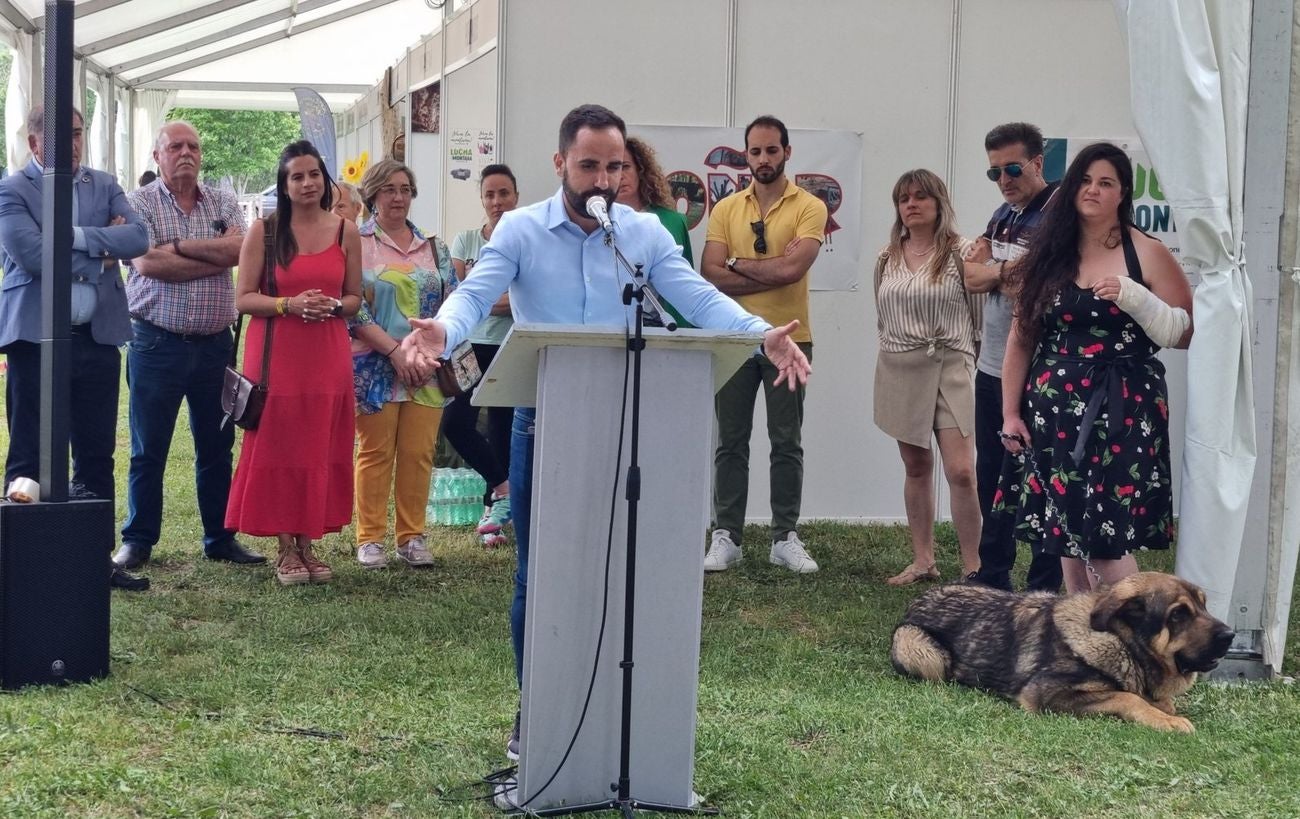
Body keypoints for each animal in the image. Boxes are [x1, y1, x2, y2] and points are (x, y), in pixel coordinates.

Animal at [889, 574, 1232, 733]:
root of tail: (919, 599)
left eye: (1204, 606)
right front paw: (1166, 720)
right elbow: (1127, 698)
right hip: (924, 653)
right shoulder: (1048, 695)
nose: (1231, 636)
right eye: (1178, 615)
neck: (1120, 642)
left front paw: (1165, 709)